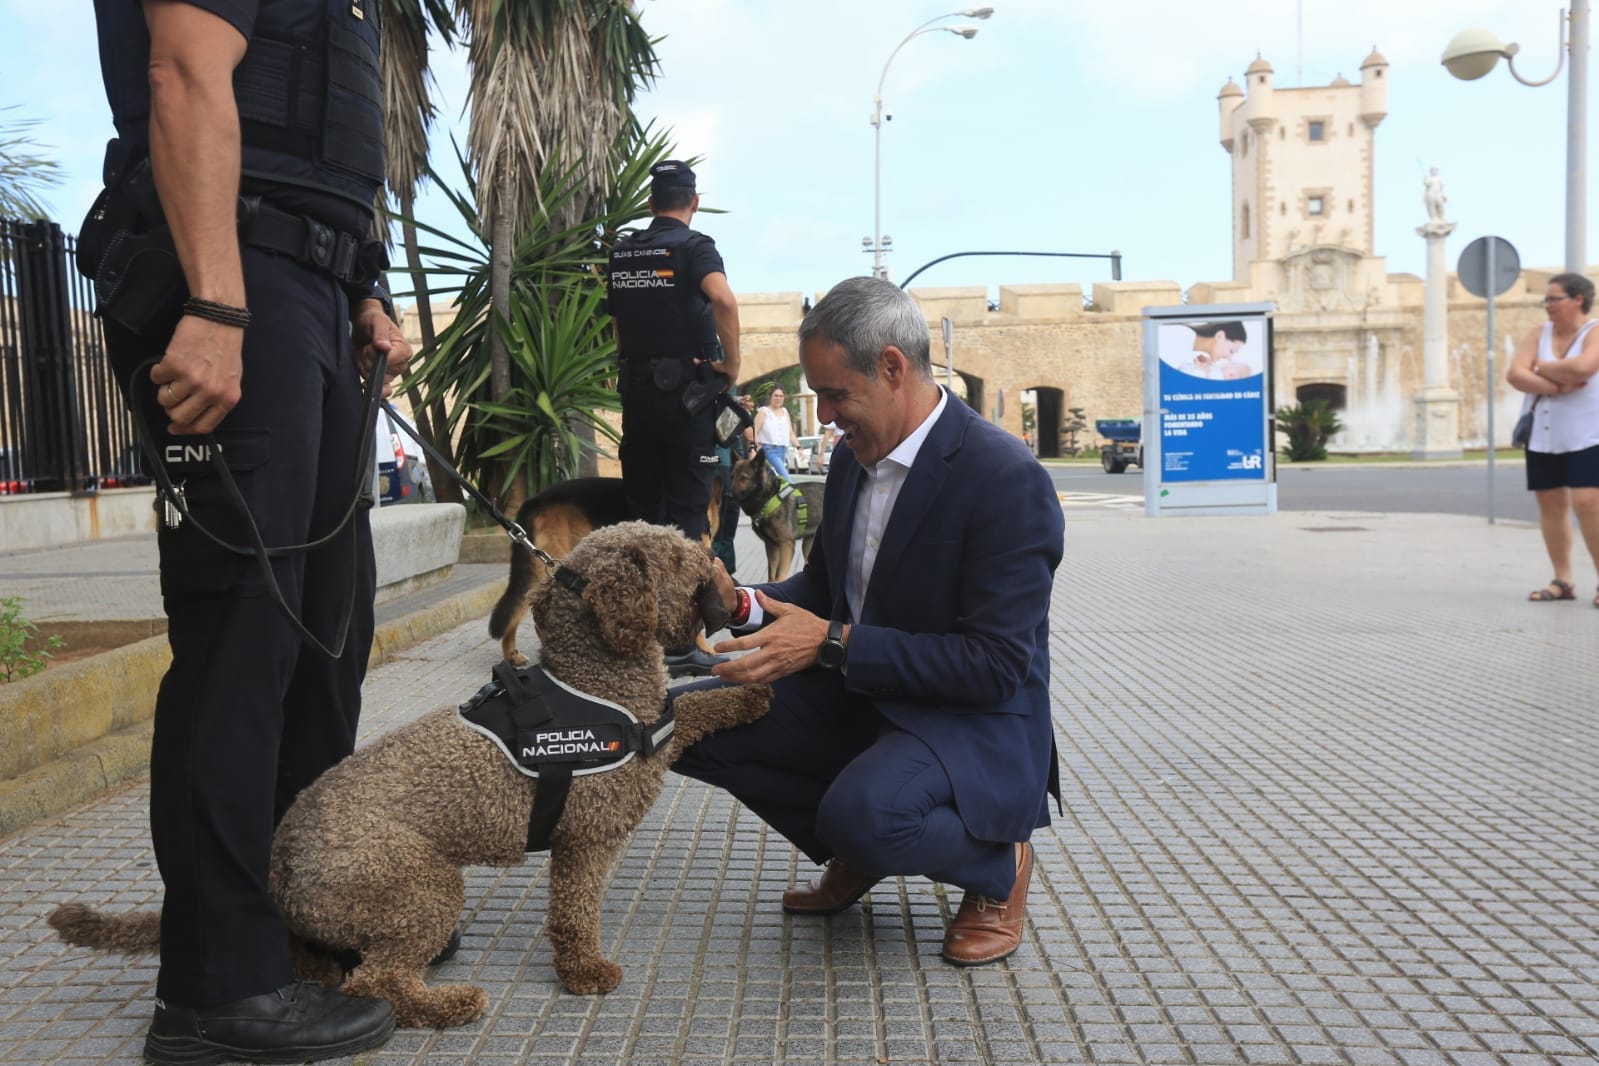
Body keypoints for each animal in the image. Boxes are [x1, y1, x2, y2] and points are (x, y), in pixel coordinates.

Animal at [46, 521, 770, 1029]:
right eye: (678, 557)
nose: (724, 578)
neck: (593, 679)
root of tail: (277, 865)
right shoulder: (585, 838)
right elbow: (573, 912)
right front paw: (584, 970)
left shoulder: (655, 737)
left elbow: (694, 706)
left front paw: (749, 692)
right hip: (418, 884)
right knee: (378, 983)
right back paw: (445, 1005)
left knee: (336, 964)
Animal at [725, 450, 825, 584]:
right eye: (732, 476)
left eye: (744, 478)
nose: (728, 495)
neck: (768, 498)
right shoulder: (771, 546)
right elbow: (772, 576)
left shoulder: (786, 545)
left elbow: (780, 577)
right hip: (808, 547)